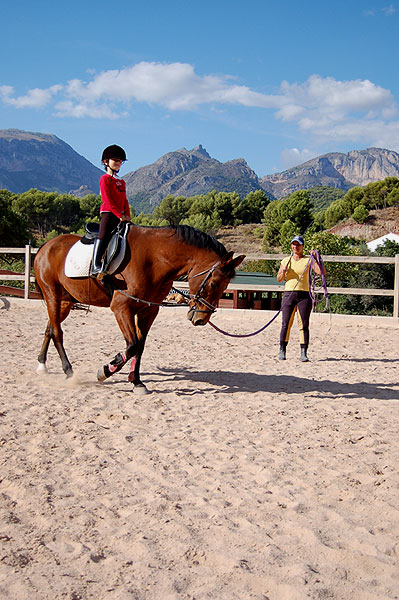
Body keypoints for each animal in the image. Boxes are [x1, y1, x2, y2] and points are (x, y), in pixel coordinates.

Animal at [34, 224, 245, 394]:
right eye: (214, 284)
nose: (201, 319)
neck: (155, 259)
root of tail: (46, 246)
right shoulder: (121, 307)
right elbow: (132, 345)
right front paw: (105, 370)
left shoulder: (148, 311)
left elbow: (140, 347)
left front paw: (136, 382)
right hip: (52, 295)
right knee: (58, 332)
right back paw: (68, 371)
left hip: (65, 301)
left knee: (50, 328)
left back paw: (42, 365)